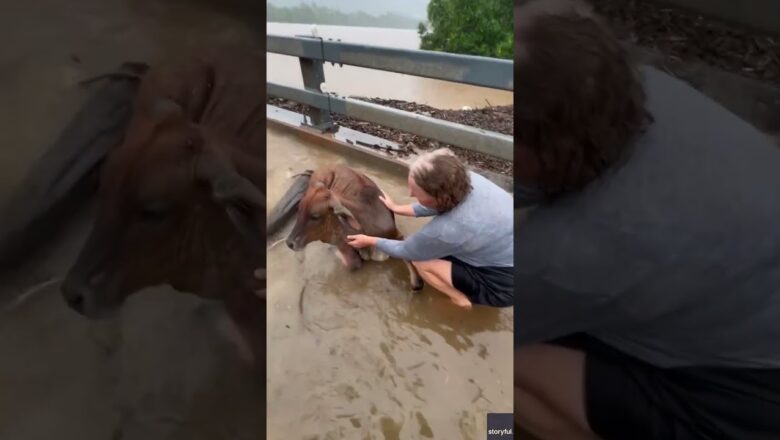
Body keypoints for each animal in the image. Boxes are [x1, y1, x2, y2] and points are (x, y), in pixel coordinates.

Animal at [284, 163, 424, 290]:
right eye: (299, 209)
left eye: (315, 216)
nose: (289, 243)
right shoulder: (342, 242)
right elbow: (354, 263)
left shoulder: (398, 236)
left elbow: (416, 282)